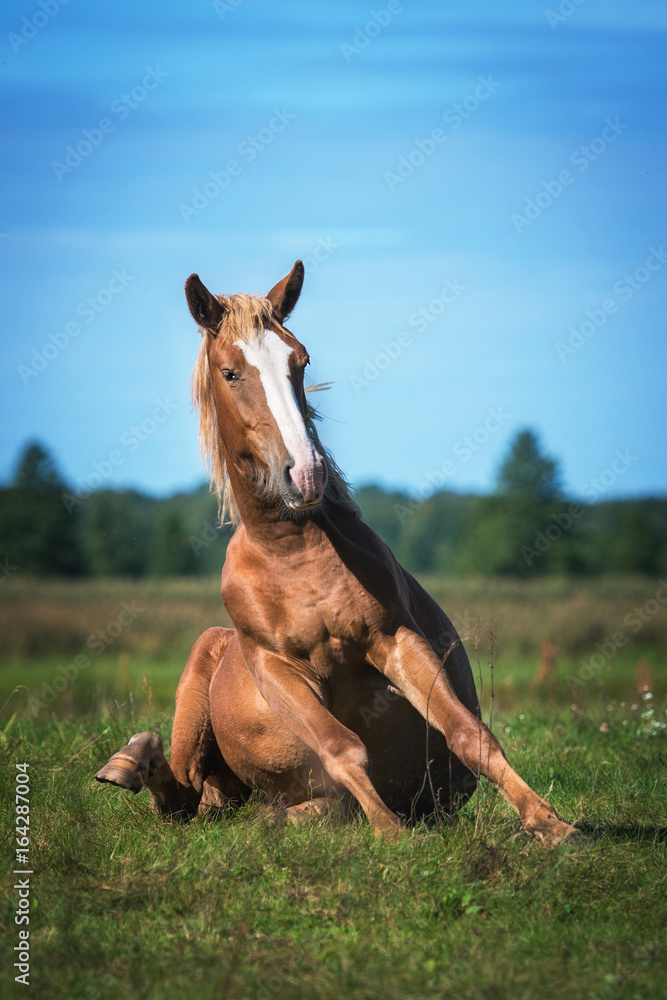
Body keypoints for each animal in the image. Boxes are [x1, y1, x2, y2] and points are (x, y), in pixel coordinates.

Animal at [95, 260, 581, 847]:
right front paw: (391, 832)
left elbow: (469, 733)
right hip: (199, 688)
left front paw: (550, 823)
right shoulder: (278, 669)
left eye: (300, 361)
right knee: (182, 795)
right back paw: (130, 762)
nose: (305, 473)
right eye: (230, 372)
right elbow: (341, 748)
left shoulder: (395, 639)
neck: (292, 555)